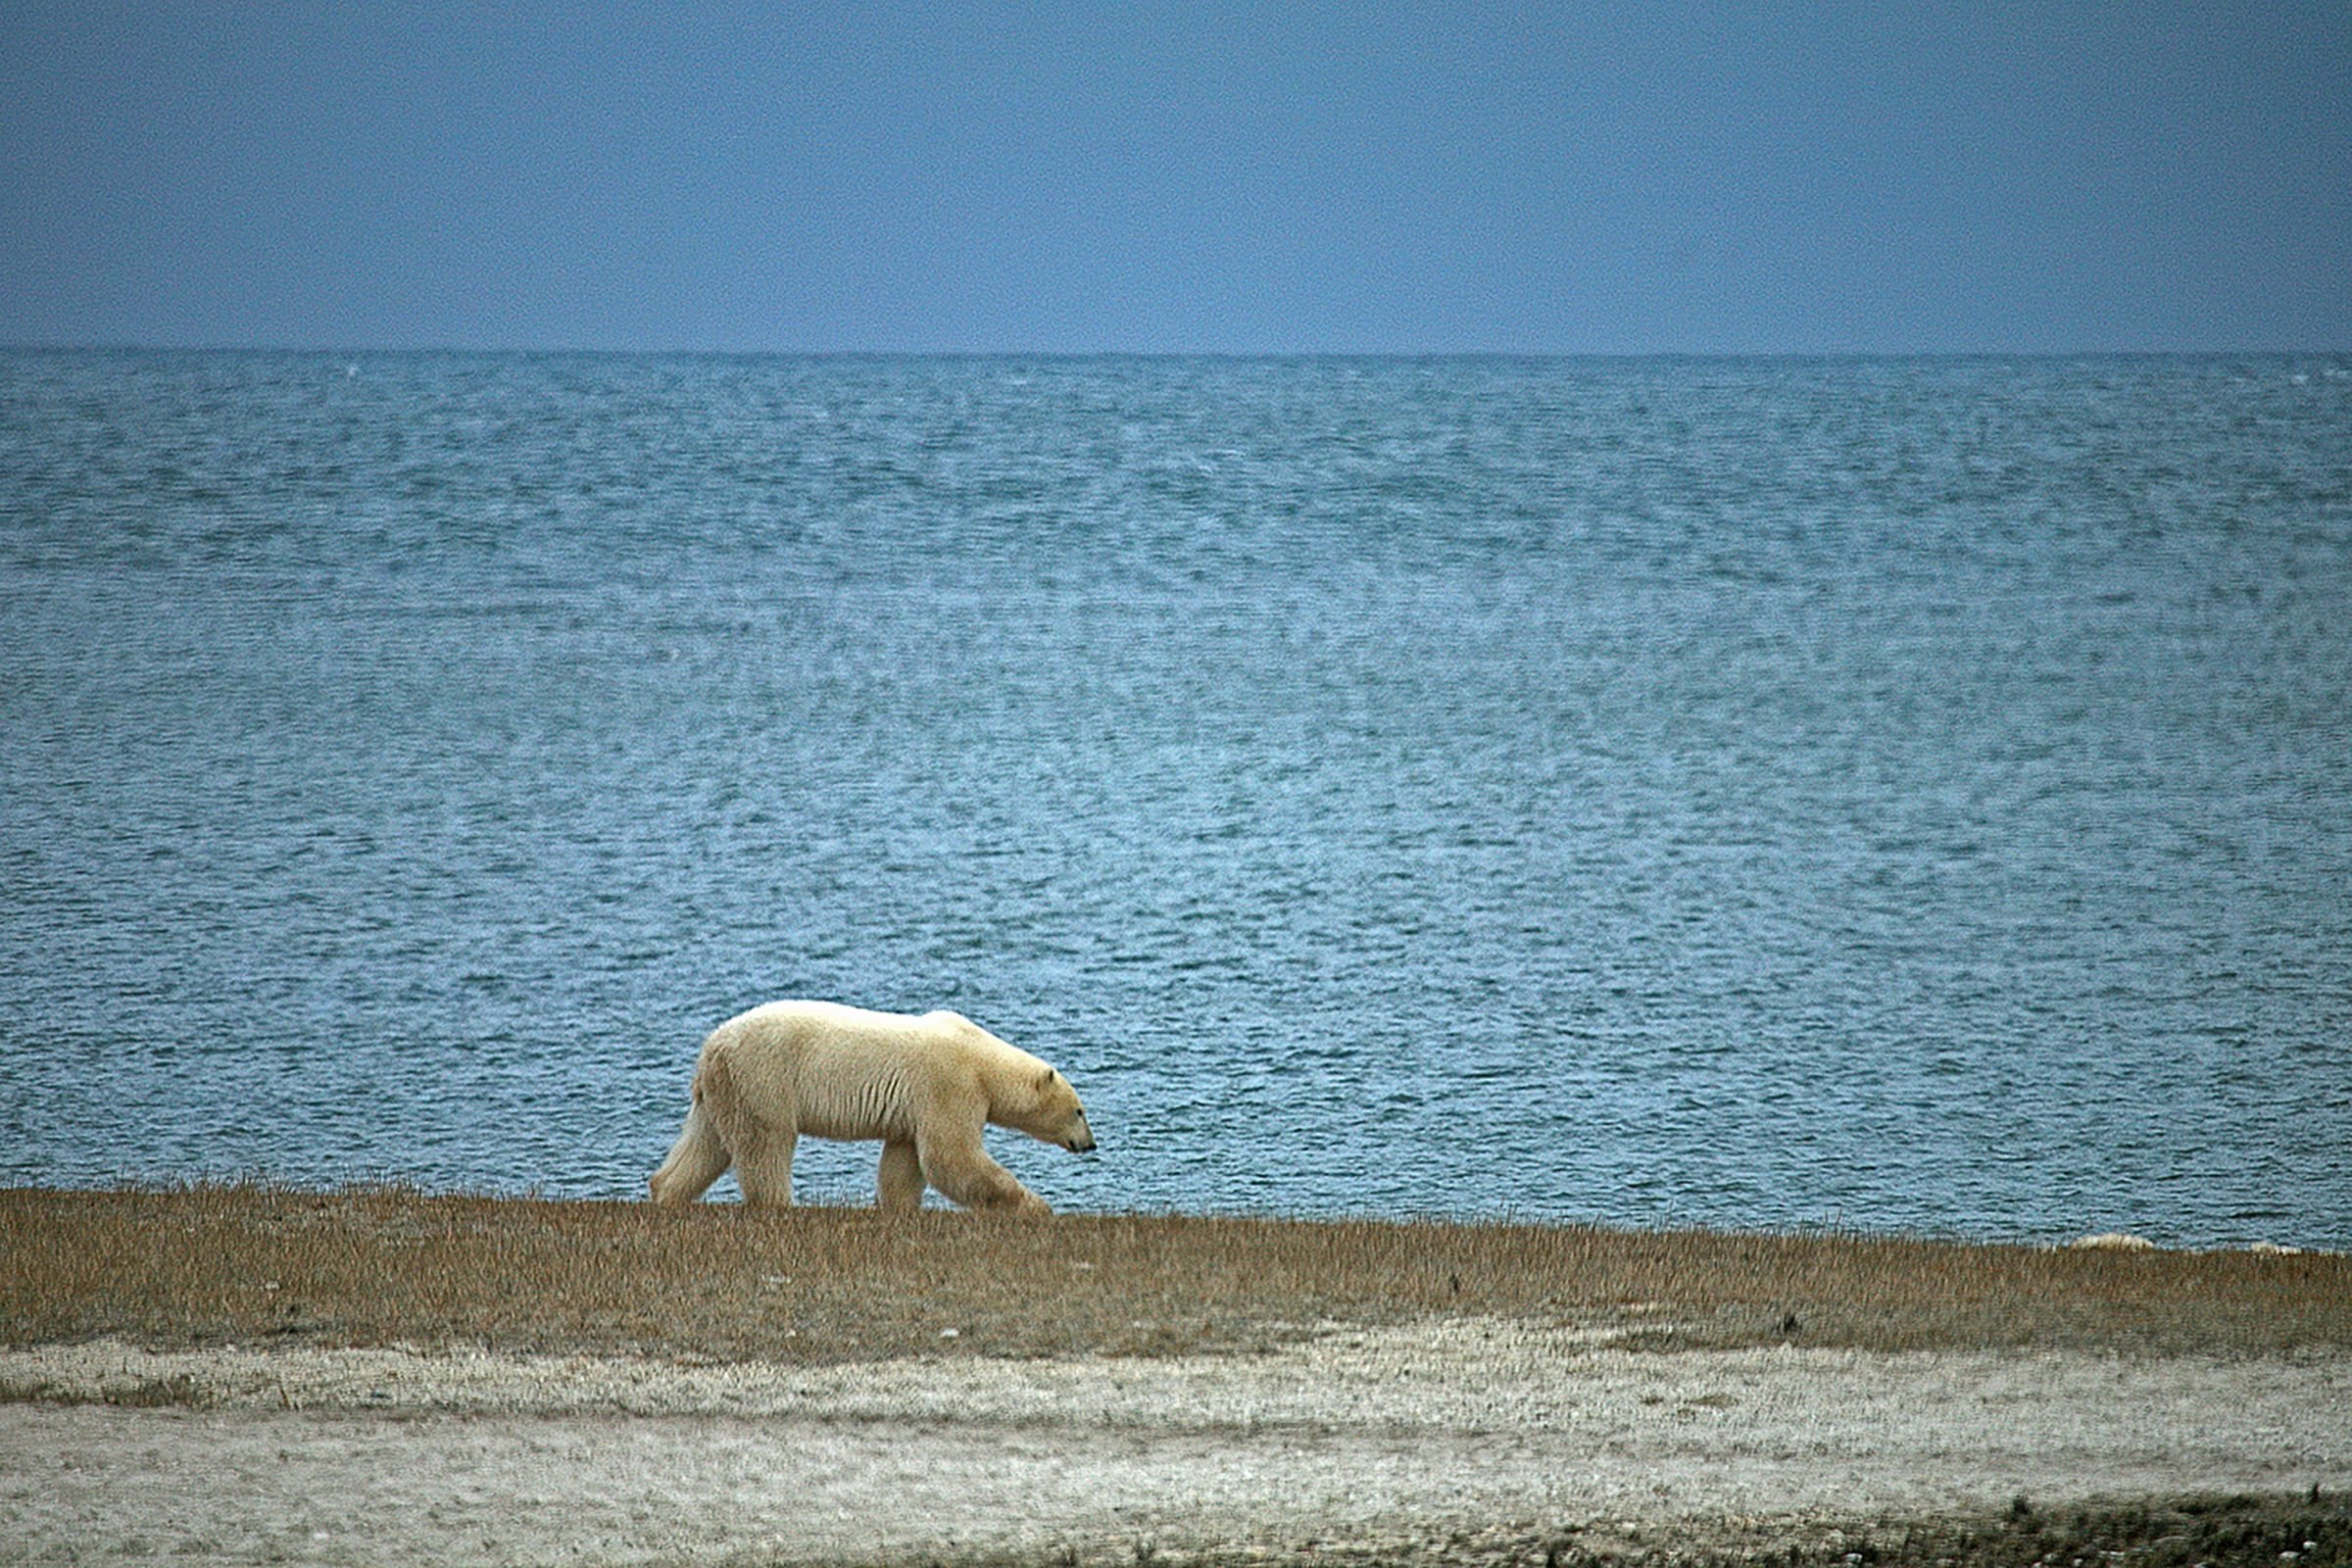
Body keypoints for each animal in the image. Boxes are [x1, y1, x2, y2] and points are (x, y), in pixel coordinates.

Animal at [649, 1005, 1096, 1212]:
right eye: (1079, 1111)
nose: (1090, 1145)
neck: (981, 1060)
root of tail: (711, 1047)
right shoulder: (950, 1086)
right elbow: (952, 1157)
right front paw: (1035, 1206)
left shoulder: (914, 1108)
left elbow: (904, 1161)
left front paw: (898, 1208)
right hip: (762, 1080)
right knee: (765, 1143)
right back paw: (779, 1203)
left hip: (722, 1090)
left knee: (706, 1143)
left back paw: (666, 1193)